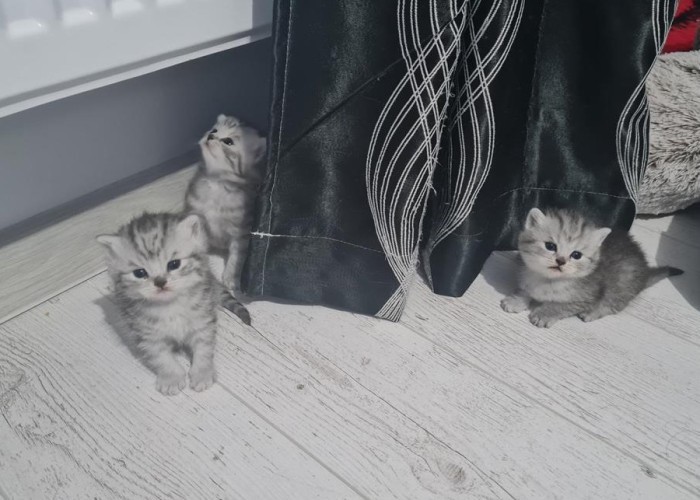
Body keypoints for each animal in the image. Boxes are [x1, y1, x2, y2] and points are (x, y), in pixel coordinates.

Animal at [97, 212, 245, 395]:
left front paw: (202, 373)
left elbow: (204, 349)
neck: (169, 307)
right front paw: (171, 378)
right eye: (139, 273)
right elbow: (162, 359)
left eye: (174, 264)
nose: (160, 282)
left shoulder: (202, 321)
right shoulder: (148, 336)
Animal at [184, 114, 267, 298]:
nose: (211, 136)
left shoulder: (241, 232)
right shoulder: (197, 216)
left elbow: (236, 257)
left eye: (228, 141)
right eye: (214, 130)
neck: (216, 182)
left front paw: (231, 278)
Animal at [501, 207, 683, 328]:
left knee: (612, 303)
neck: (548, 280)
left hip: (622, 285)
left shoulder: (586, 297)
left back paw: (593, 312)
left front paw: (544, 313)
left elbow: (560, 306)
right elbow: (524, 291)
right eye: (550, 246)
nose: (561, 261)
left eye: (576, 255)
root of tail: (645, 268)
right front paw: (515, 300)